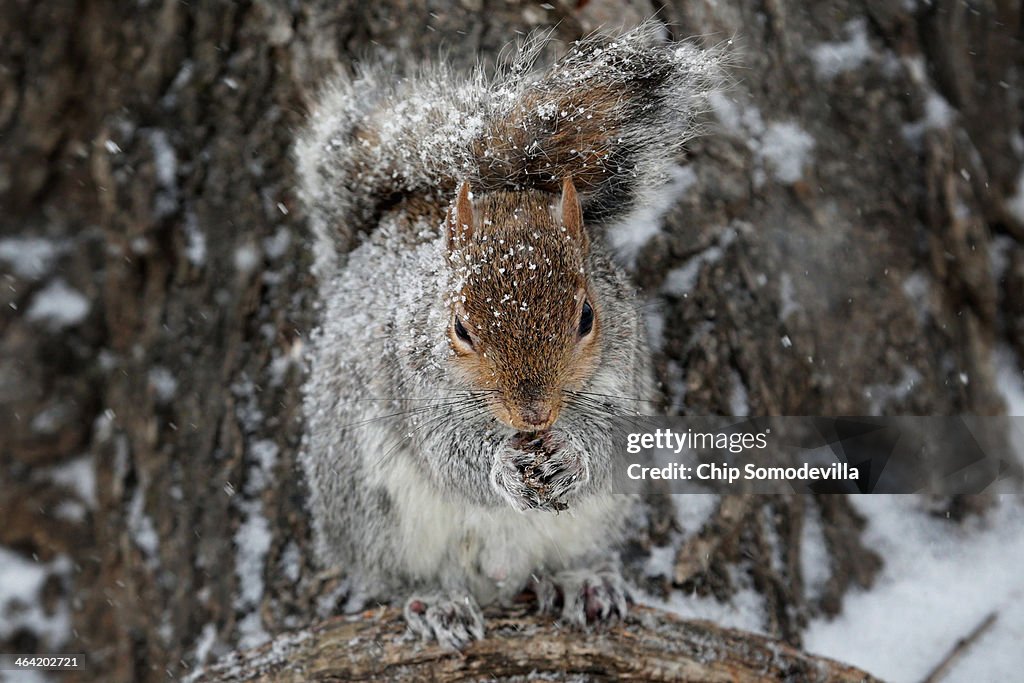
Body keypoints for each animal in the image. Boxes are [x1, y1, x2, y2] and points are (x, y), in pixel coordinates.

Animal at [296, 21, 724, 651]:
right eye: (459, 327)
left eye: (587, 316)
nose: (533, 415)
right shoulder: (414, 391)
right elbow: (452, 456)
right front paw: (501, 465)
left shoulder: (624, 371)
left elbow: (610, 436)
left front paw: (569, 455)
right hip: (372, 515)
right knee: (394, 578)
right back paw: (436, 602)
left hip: (600, 518)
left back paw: (582, 581)